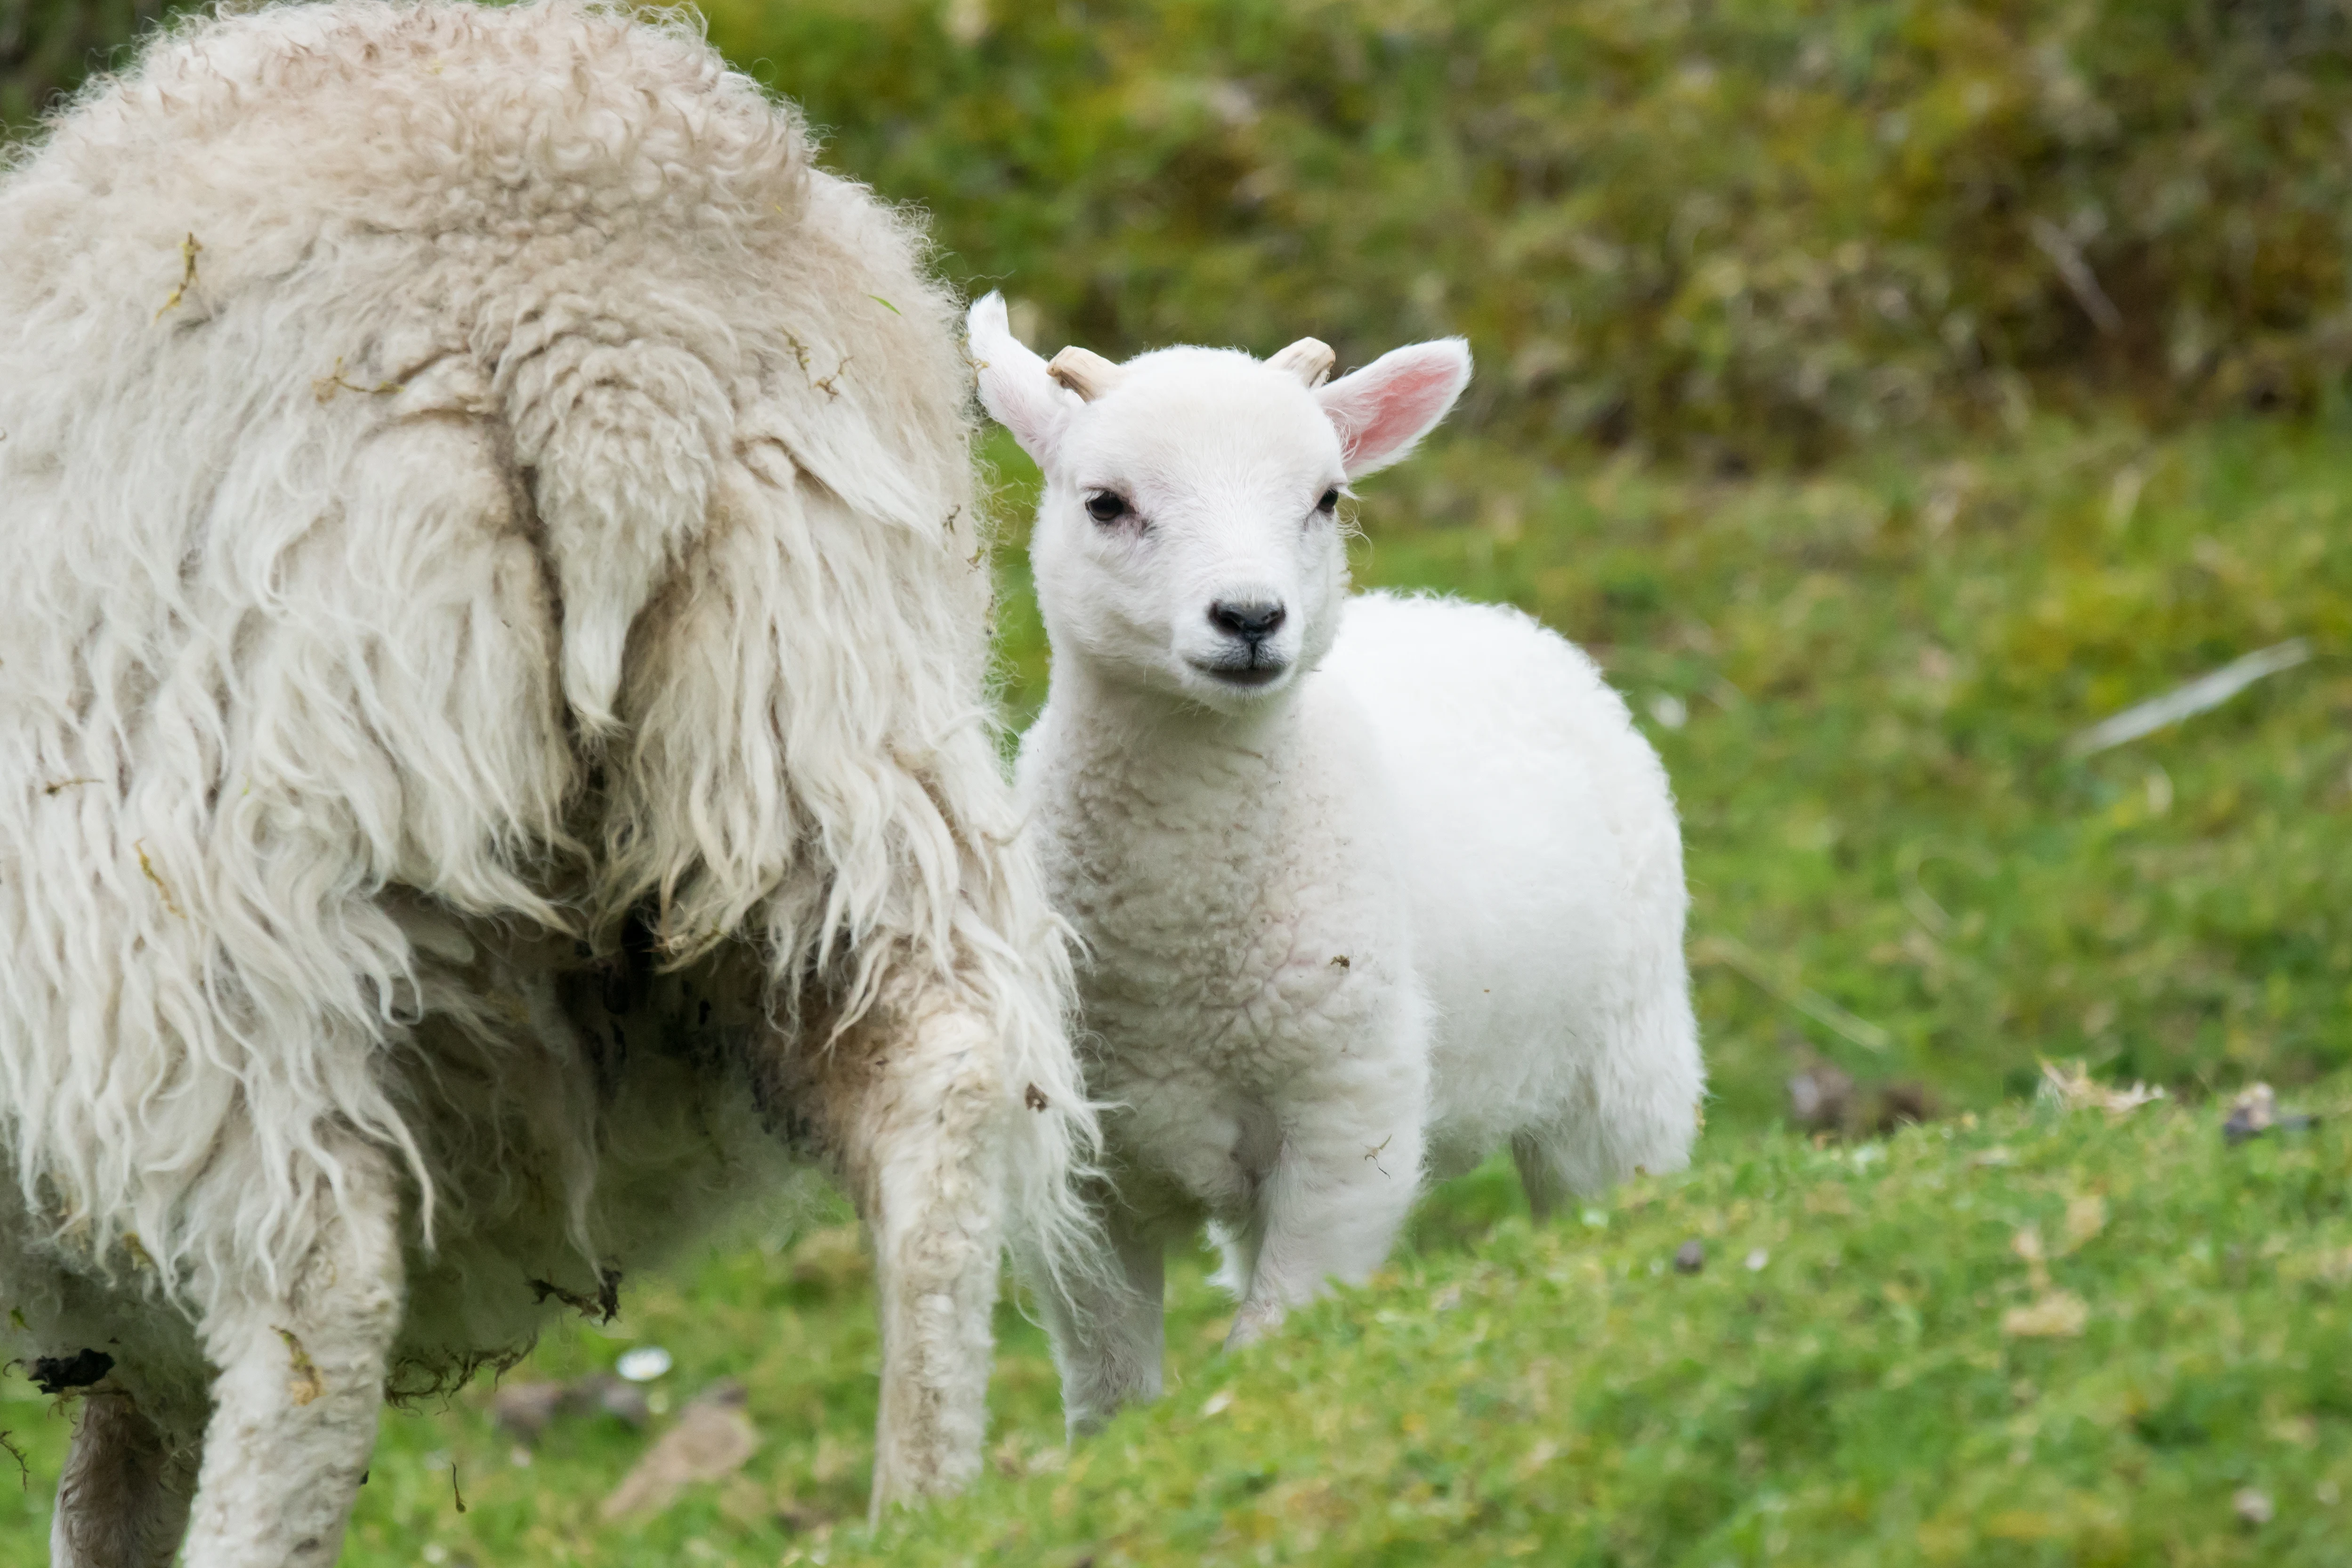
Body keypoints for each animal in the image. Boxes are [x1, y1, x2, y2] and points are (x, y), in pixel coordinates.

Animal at [0, 5, 1095, 1559]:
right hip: (820, 704)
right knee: (939, 1079)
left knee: (320, 1269)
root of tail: (594, 346)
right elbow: (114, 1476)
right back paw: (923, 1504)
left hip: (203, 881)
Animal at [967, 294, 1705, 1432]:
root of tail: (1474, 611)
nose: (1250, 619)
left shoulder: (1348, 1123)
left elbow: (1273, 1332)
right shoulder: (1075, 1176)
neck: (1174, 944)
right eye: (1104, 503)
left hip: (1626, 1063)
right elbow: (1111, 1385)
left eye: (1325, 499)